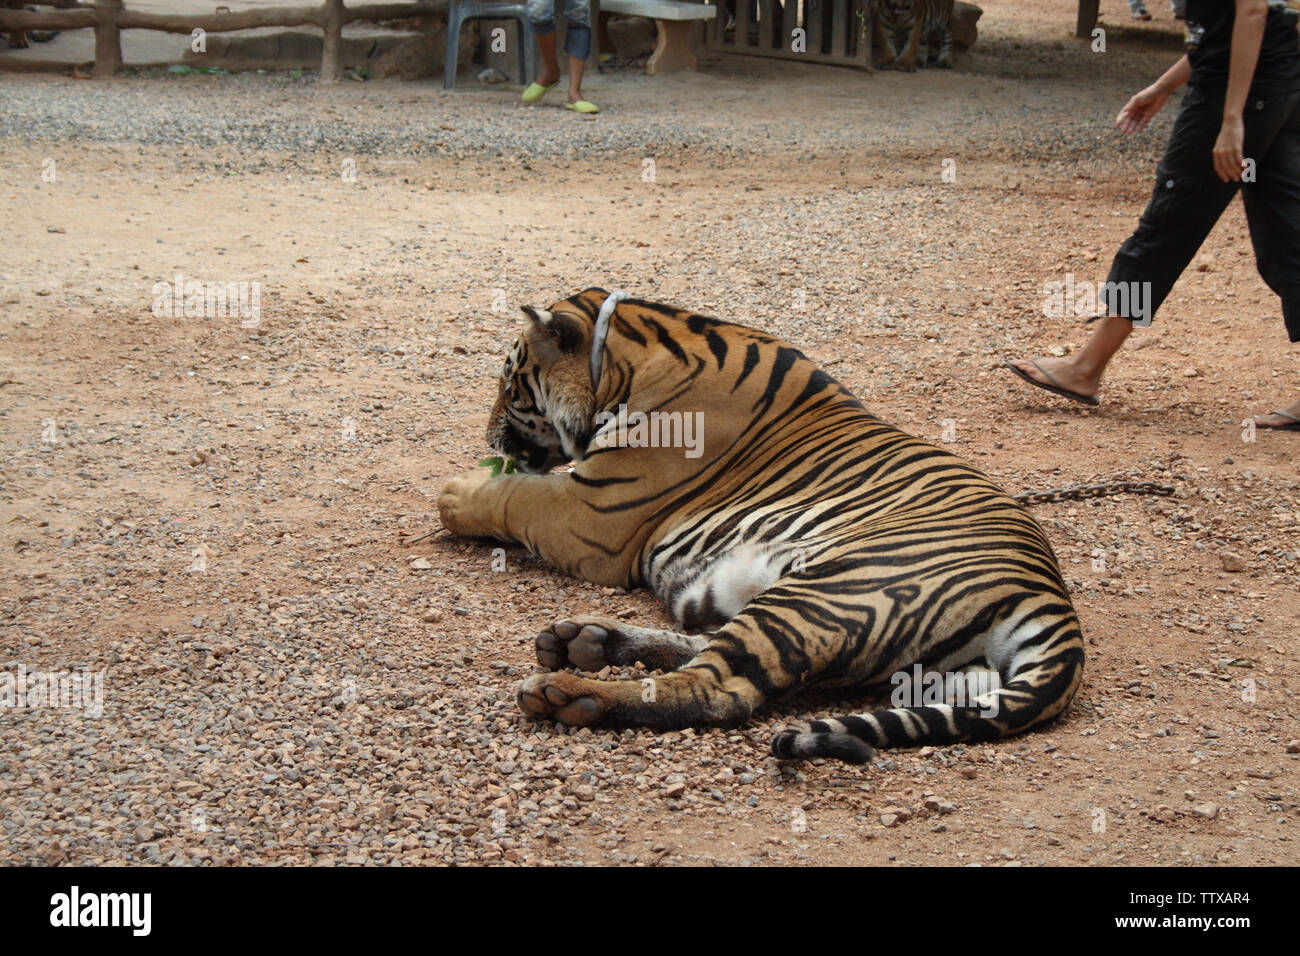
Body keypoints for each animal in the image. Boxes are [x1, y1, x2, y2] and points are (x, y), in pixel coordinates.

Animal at [436, 287, 1086, 764]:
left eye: (508, 383)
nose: (488, 437)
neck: (622, 360)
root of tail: (1049, 594)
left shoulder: (589, 516)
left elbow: (515, 495)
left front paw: (457, 495)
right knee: (716, 651)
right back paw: (587, 640)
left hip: (829, 588)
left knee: (718, 689)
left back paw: (569, 692)